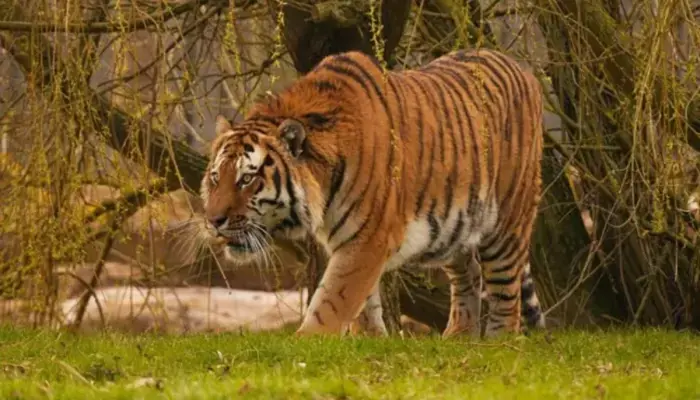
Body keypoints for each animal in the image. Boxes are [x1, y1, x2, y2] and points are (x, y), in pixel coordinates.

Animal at [200, 47, 546, 338]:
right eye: (216, 178)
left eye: (247, 179)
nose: (214, 221)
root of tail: (523, 69)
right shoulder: (352, 240)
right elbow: (363, 302)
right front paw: (370, 339)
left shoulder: (368, 238)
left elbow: (333, 299)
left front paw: (308, 342)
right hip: (456, 228)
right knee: (469, 273)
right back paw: (458, 336)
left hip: (507, 224)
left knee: (506, 291)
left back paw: (498, 342)